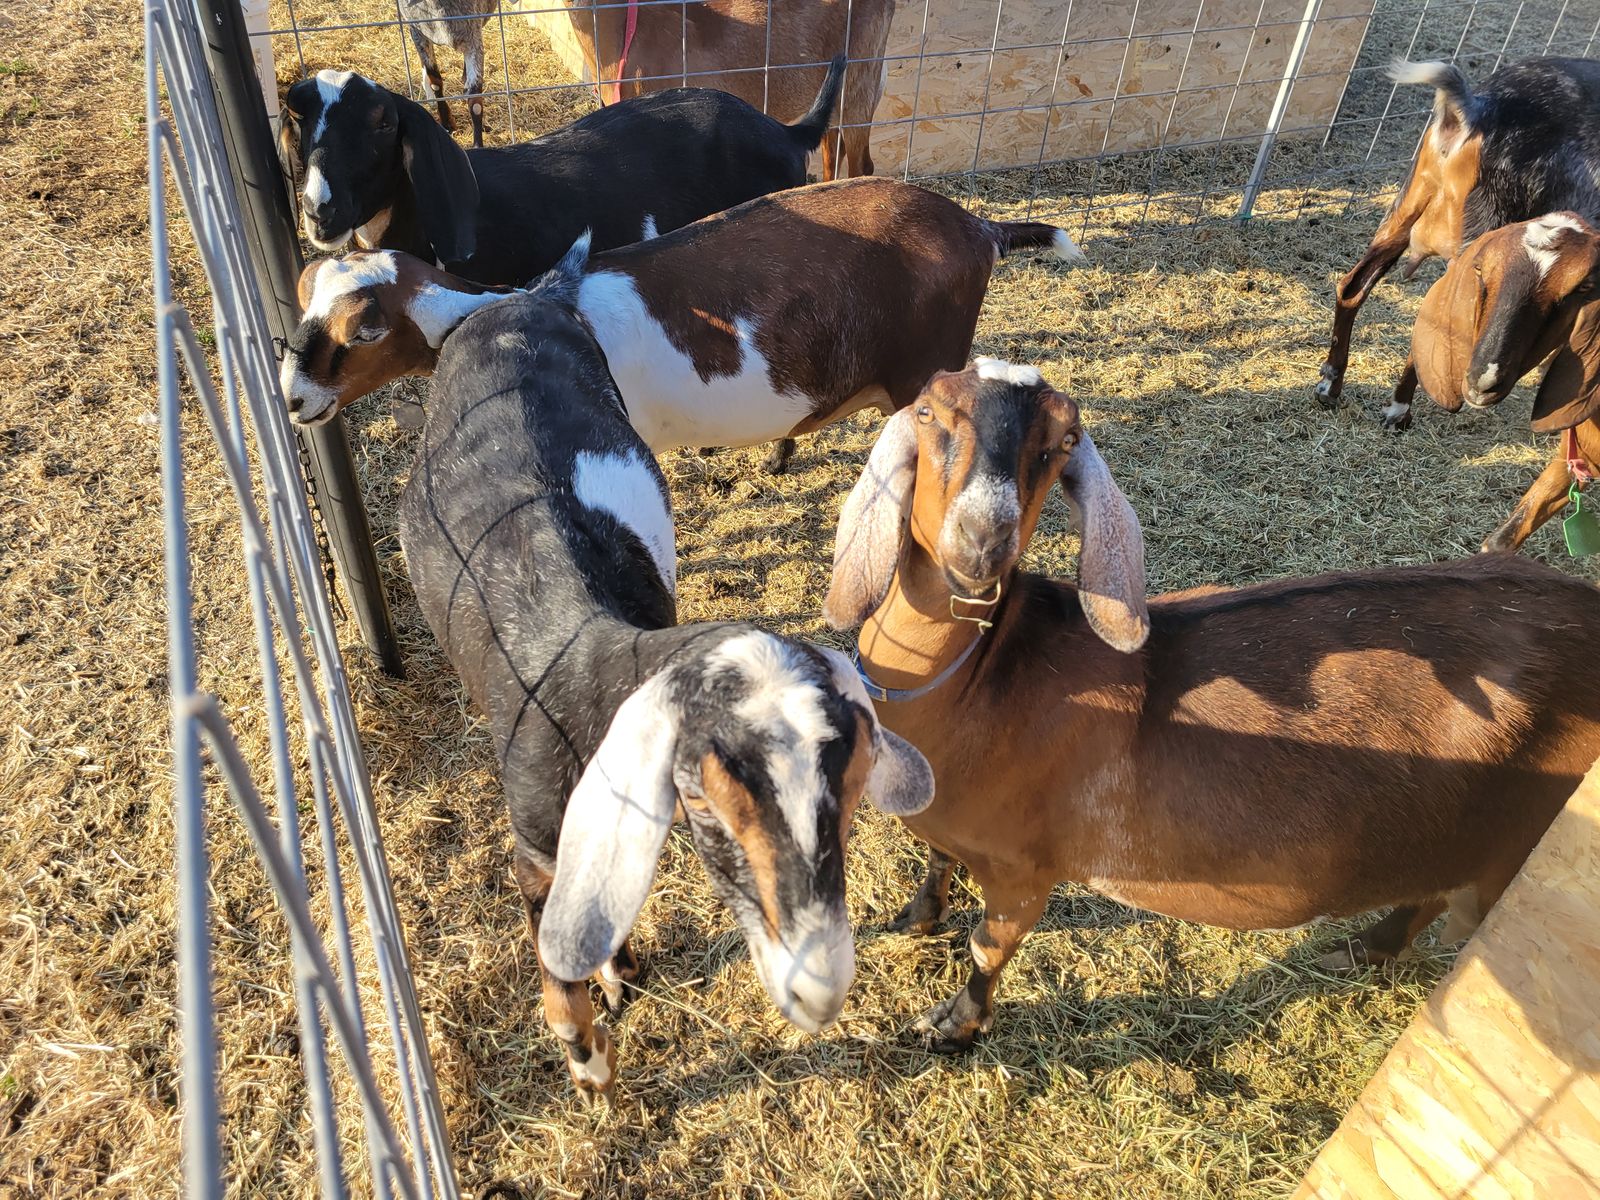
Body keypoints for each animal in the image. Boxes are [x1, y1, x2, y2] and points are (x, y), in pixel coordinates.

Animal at [396, 257, 933, 1095]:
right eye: (704, 798)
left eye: (851, 787)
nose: (819, 990)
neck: (582, 662)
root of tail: (524, 298)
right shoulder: (537, 842)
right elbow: (554, 941)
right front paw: (586, 1057)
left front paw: (618, 976)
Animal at [399, 0, 499, 148]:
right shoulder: (418, 33)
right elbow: (435, 80)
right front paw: (447, 124)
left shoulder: (473, 38)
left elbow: (475, 100)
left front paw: (477, 145)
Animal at [821, 359, 1600, 1051]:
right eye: (928, 412)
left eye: (1062, 442)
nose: (983, 540)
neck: (981, 681)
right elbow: (935, 858)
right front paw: (917, 916)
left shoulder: (1025, 869)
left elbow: (988, 948)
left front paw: (953, 1027)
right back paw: (1359, 950)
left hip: (1513, 852)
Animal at [1314, 56, 1600, 425]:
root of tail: (1476, 109)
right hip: (1482, 227)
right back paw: (1399, 409)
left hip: (1407, 204)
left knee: (1353, 286)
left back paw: (1331, 385)